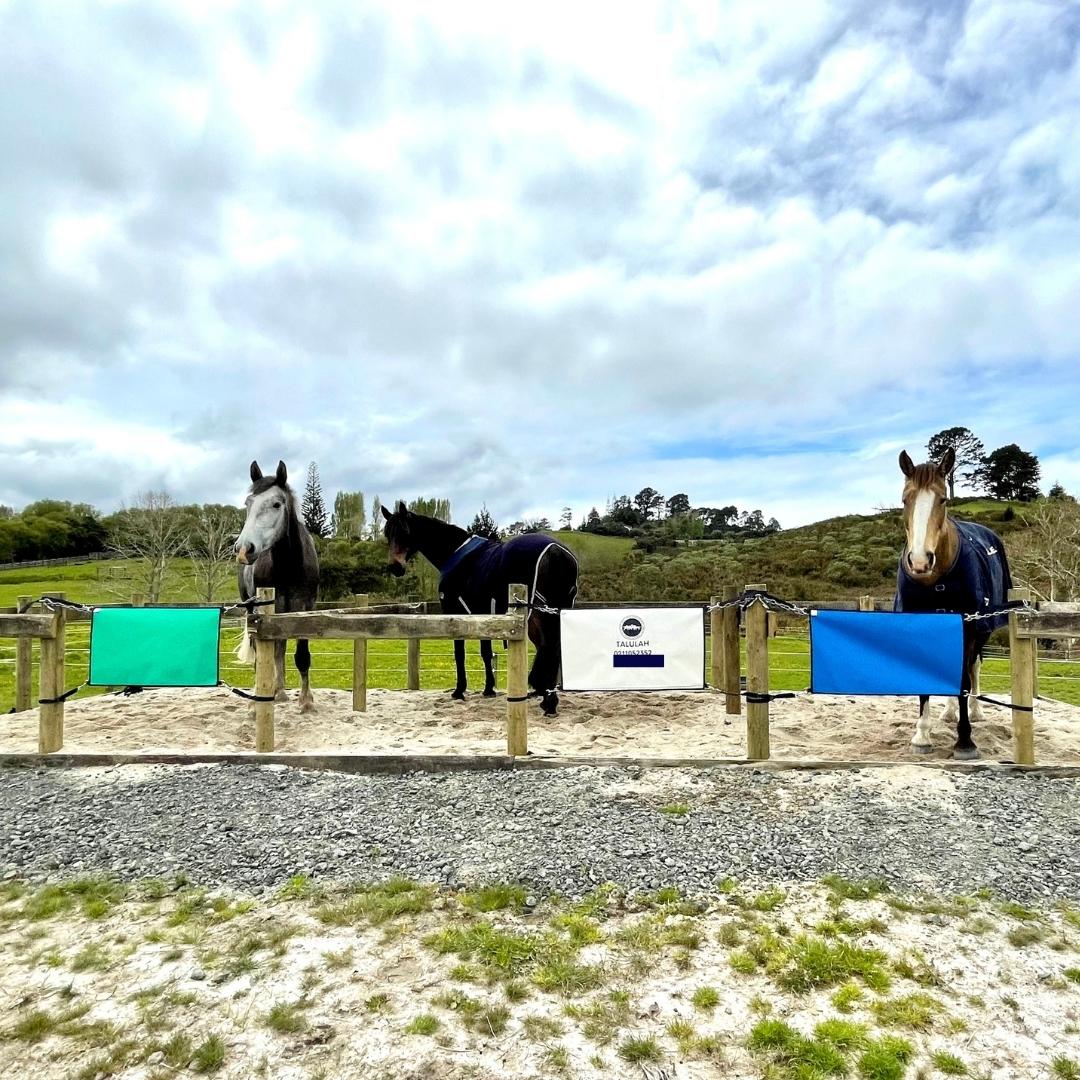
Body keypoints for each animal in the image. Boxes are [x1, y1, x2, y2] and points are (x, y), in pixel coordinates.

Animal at [234, 460, 317, 712]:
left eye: (276, 504)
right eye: (248, 503)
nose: (244, 549)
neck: (289, 566)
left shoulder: (305, 607)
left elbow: (301, 656)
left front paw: (306, 700)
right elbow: (265, 654)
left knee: (279, 647)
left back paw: (279, 691)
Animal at [382, 498, 583, 717]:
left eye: (405, 531)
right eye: (387, 533)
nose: (395, 567)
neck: (455, 553)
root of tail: (555, 551)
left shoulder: (456, 611)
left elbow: (460, 653)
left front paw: (459, 690)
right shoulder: (485, 613)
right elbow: (486, 653)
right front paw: (489, 689)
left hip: (538, 614)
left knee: (548, 647)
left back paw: (548, 699)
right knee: (553, 648)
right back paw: (548, 699)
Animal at [894, 447, 1010, 760]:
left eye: (943, 499)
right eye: (905, 499)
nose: (919, 561)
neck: (936, 581)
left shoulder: (969, 628)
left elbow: (964, 682)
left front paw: (965, 741)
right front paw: (922, 737)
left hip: (983, 630)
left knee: (972, 669)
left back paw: (975, 712)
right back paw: (947, 713)